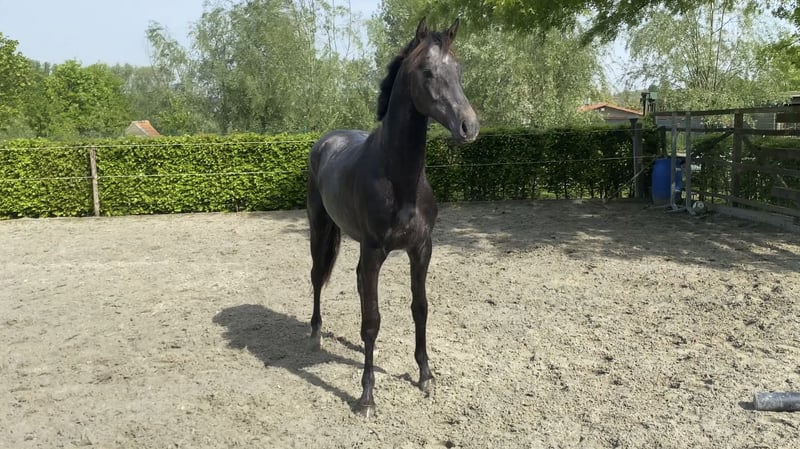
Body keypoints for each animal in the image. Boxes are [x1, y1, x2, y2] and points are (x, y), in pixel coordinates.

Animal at [306, 17, 479, 417]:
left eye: (459, 70)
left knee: (355, 283)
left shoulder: (421, 249)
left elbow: (420, 308)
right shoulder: (374, 251)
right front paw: (366, 396)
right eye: (428, 72)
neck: (399, 179)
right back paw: (316, 332)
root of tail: (326, 141)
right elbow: (372, 321)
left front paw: (426, 375)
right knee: (317, 277)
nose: (469, 127)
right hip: (320, 228)